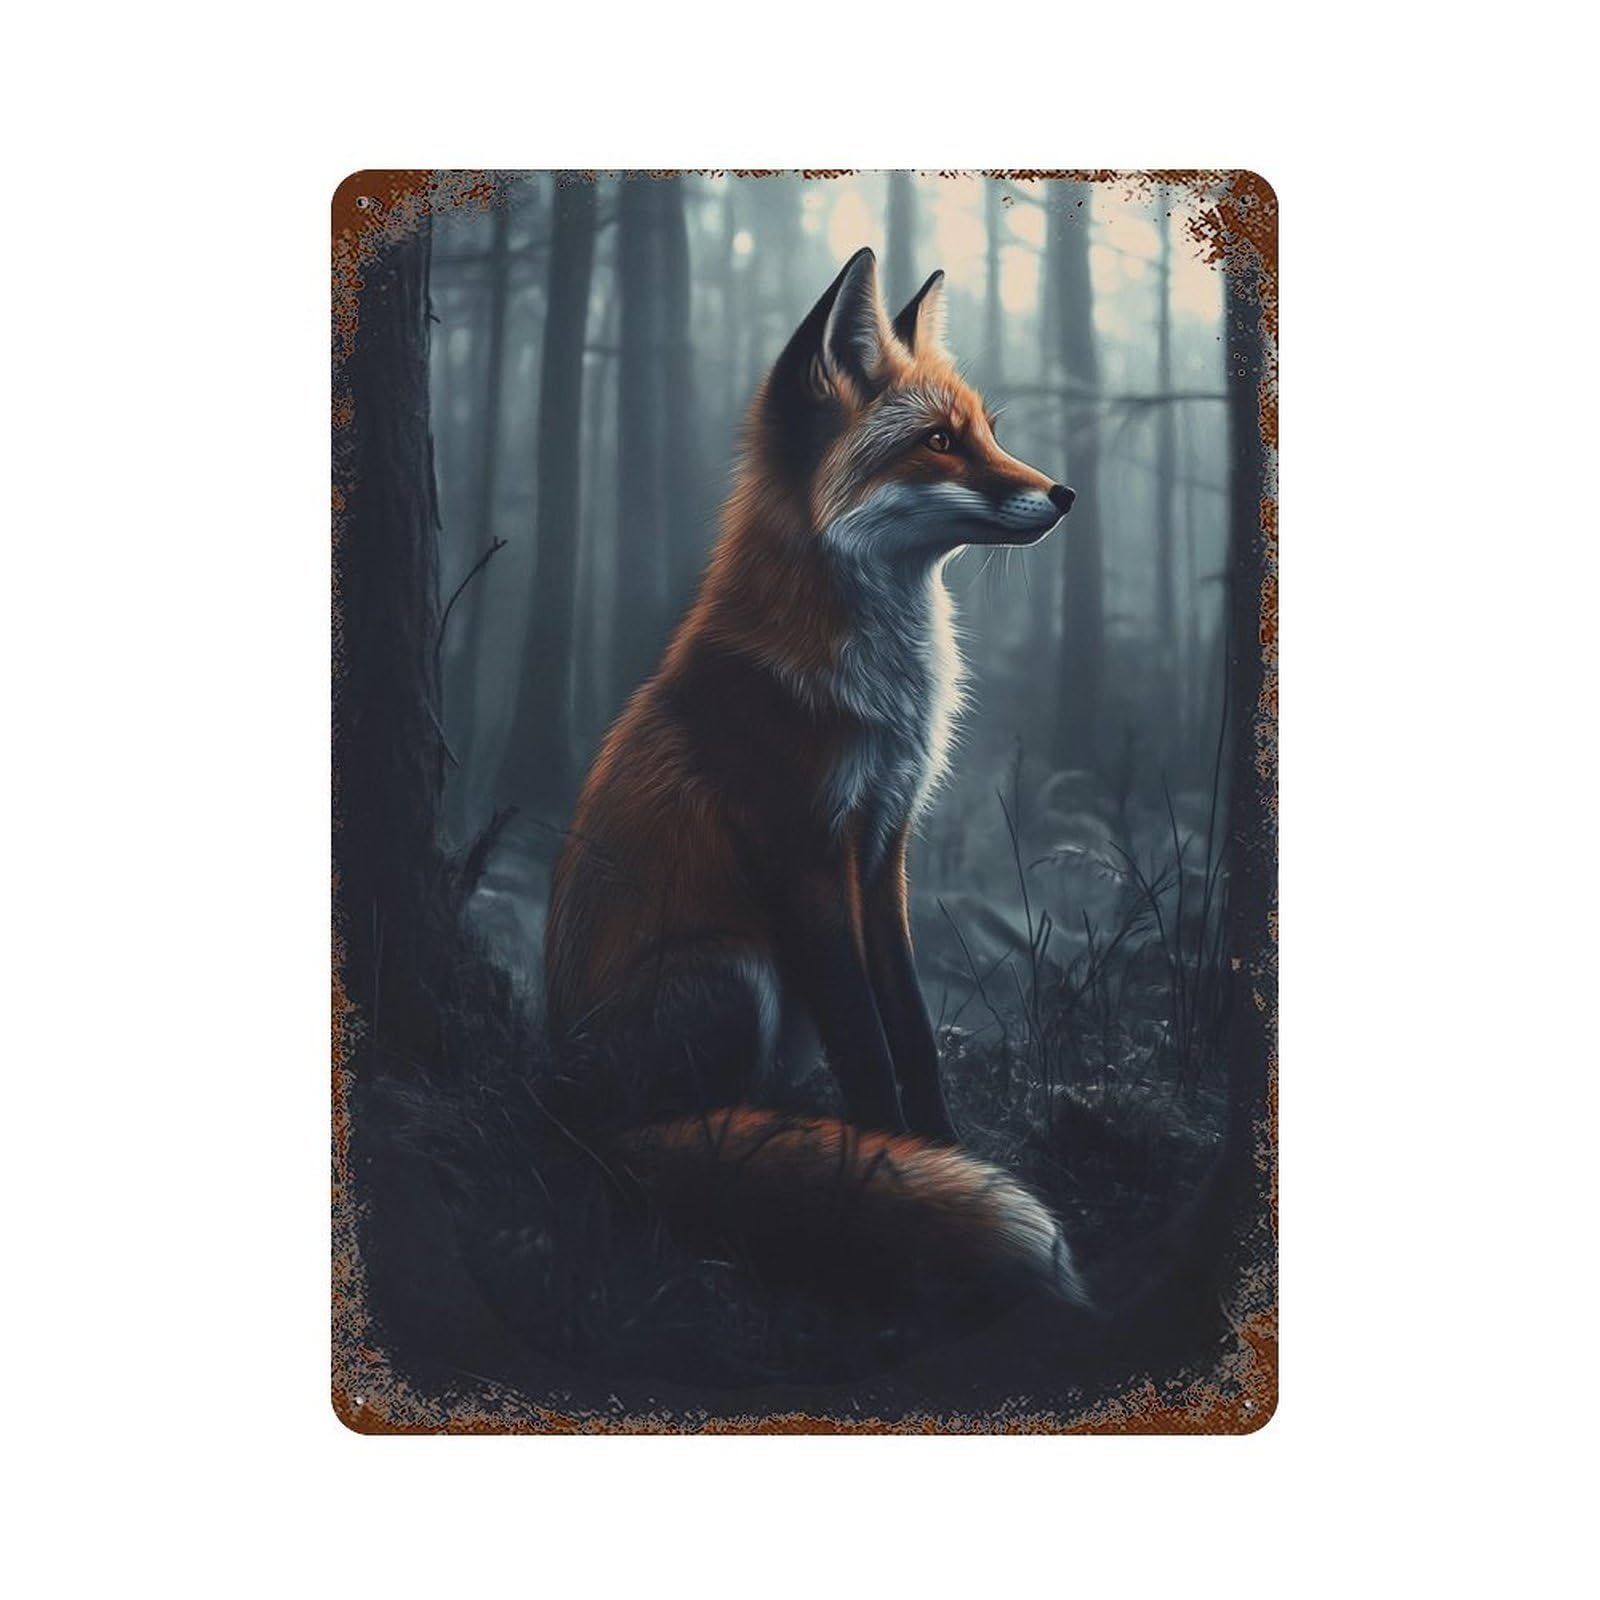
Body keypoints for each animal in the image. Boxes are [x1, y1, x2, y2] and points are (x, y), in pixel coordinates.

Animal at [545, 246, 1085, 1306]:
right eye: (938, 443)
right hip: (738, 970)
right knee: (683, 1138)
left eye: (988, 433)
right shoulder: (804, 852)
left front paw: (938, 1150)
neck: (881, 695)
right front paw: (896, 1167)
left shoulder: (884, 847)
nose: (1063, 495)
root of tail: (562, 1107)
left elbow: (910, 1026)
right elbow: (866, 1044)